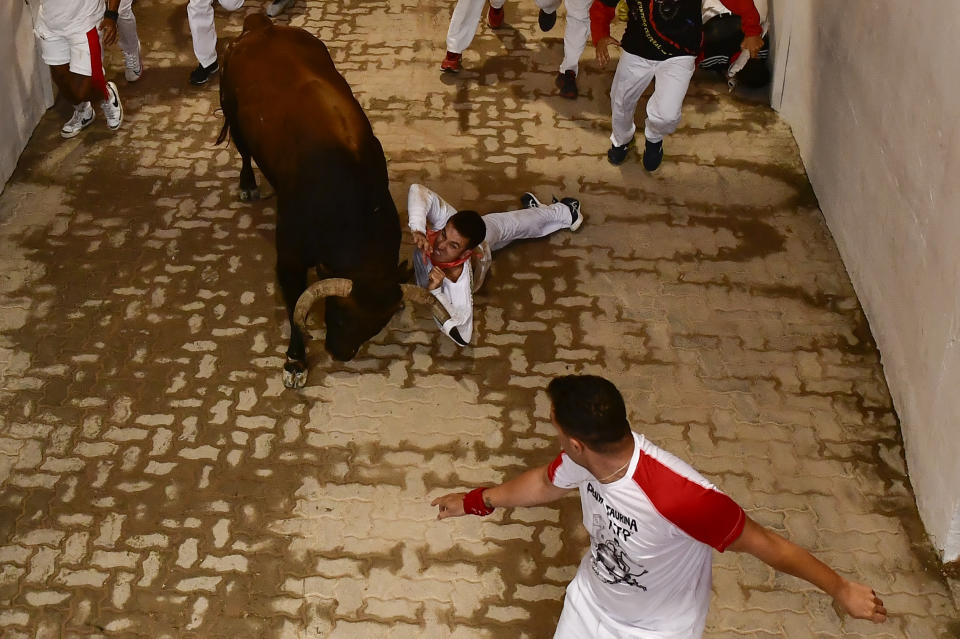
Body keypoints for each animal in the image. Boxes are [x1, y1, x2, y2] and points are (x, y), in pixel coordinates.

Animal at [218, 12, 442, 388]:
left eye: (376, 325)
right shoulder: (289, 259)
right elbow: (294, 308)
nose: (340, 353)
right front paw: (295, 362)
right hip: (232, 118)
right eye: (336, 316)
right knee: (244, 151)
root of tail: (260, 25)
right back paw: (248, 184)